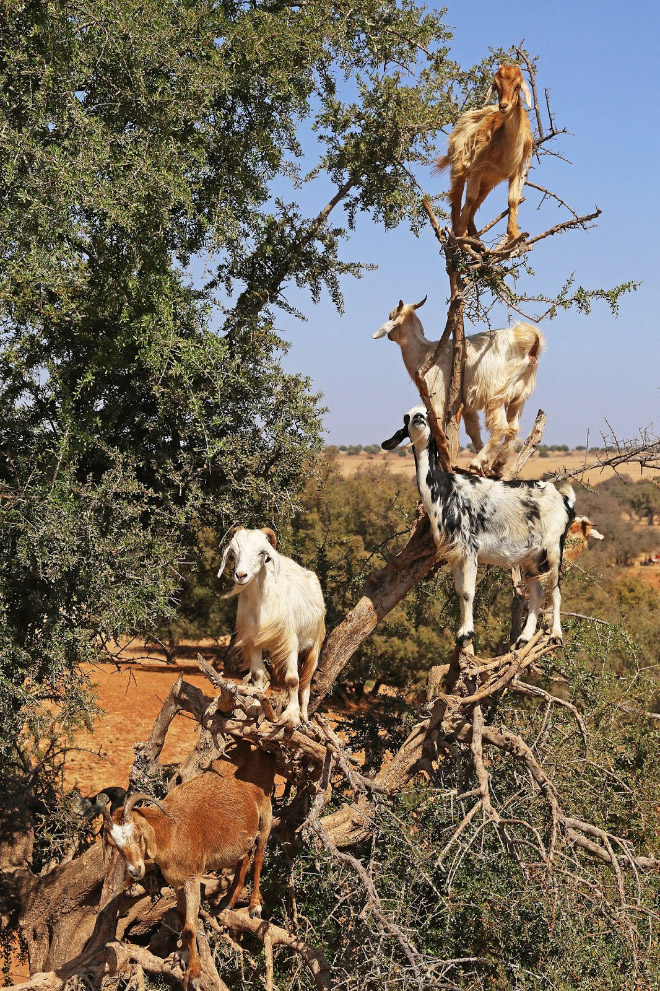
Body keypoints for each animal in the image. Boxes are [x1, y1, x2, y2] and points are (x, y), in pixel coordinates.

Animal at [101, 748, 276, 988]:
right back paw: (228, 901)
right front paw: (182, 954)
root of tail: (260, 751)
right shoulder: (178, 883)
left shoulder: (192, 880)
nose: (135, 870)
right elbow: (182, 916)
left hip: (265, 813)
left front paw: (194, 973)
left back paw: (254, 906)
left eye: (137, 835)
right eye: (116, 844)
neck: (169, 830)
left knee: (258, 857)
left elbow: (191, 928)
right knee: (245, 857)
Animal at [218, 528, 326, 728]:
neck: (263, 603)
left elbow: (293, 679)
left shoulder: (290, 641)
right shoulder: (254, 642)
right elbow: (257, 675)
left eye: (262, 553)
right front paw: (256, 707)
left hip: (313, 645)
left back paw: (304, 717)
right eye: (233, 552)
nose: (241, 575)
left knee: (306, 683)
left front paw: (291, 717)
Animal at [374, 298, 544, 472]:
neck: (425, 353)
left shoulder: (437, 397)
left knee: (501, 427)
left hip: (496, 393)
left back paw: (477, 462)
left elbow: (438, 427)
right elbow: (473, 430)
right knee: (513, 428)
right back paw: (497, 464)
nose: (389, 336)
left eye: (391, 316)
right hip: (519, 395)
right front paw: (483, 464)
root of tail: (527, 341)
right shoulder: (466, 404)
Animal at [382, 406, 576, 648]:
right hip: (531, 557)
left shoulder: (470, 549)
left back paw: (556, 635)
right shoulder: (454, 554)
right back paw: (524, 637)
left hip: (554, 549)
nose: (418, 418)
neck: (445, 490)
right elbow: (459, 592)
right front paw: (461, 633)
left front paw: (467, 633)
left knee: (555, 589)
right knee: (537, 592)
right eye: (406, 417)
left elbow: (467, 592)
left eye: (428, 413)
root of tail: (564, 500)